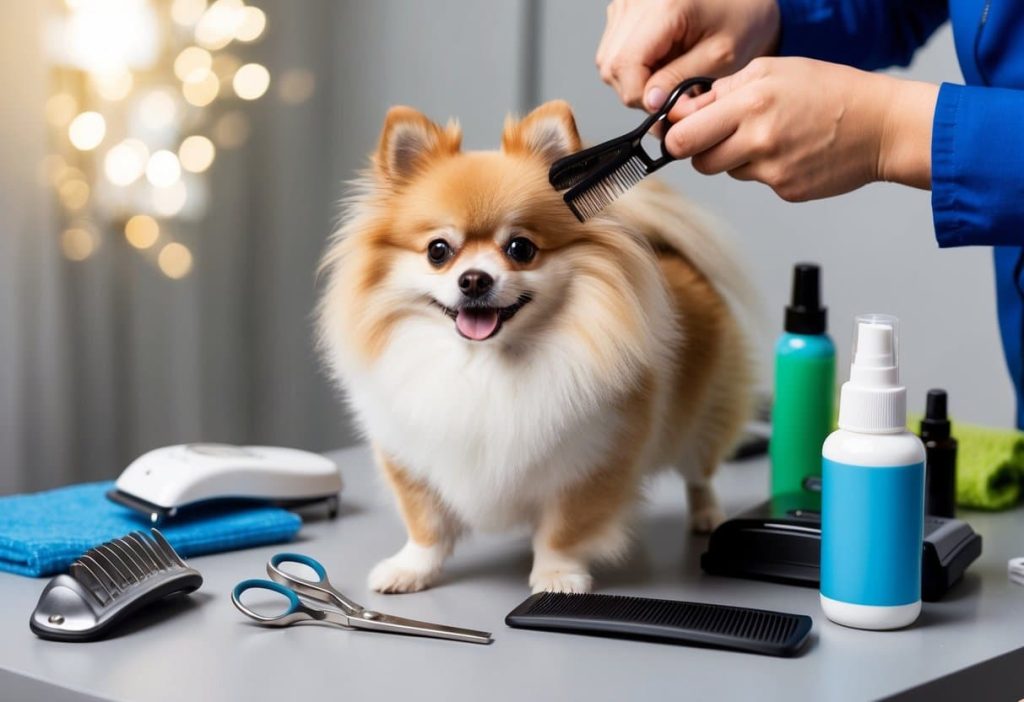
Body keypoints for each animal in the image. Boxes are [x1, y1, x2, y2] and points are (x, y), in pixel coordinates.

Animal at [315, 100, 757, 593]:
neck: (482, 367)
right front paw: (411, 569)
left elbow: (564, 528)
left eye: (520, 248)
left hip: (702, 420)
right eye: (438, 251)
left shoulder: (595, 459)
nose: (474, 279)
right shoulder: (409, 456)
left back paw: (707, 515)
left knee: (700, 472)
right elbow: (426, 523)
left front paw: (557, 575)